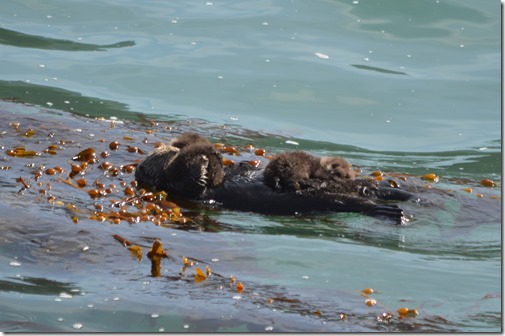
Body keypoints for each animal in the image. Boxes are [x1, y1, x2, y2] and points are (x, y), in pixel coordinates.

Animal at [135, 133, 414, 224]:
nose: (214, 153)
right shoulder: (182, 187)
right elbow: (192, 180)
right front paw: (203, 162)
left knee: (369, 188)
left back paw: (400, 193)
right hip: (334, 200)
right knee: (361, 202)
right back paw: (392, 210)